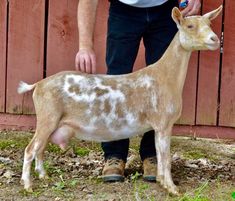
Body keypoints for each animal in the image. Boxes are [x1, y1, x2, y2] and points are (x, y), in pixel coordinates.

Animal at [18, 6, 222, 195]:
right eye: (190, 26)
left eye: (209, 24)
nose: (215, 39)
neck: (165, 76)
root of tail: (38, 85)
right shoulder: (163, 123)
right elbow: (166, 158)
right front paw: (172, 189)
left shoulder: (159, 126)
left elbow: (160, 155)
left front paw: (161, 181)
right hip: (48, 118)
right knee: (30, 149)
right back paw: (28, 185)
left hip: (51, 122)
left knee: (40, 148)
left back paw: (43, 175)